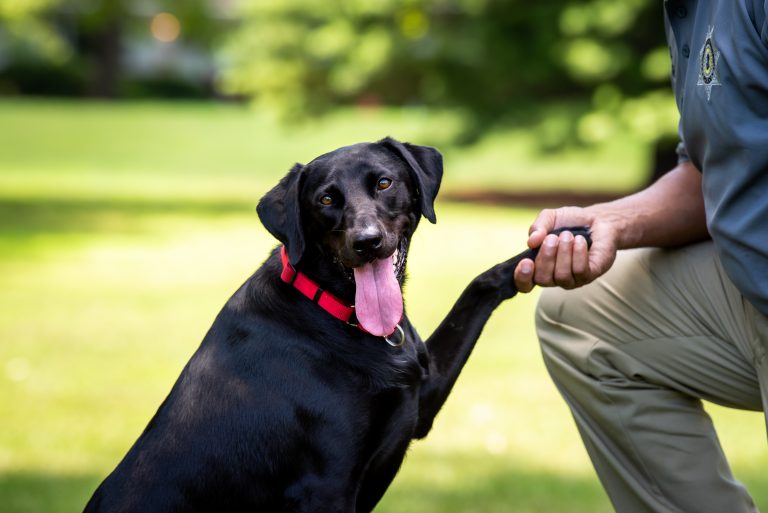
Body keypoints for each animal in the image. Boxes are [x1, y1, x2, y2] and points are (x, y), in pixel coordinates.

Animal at [82, 138, 588, 512]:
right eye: (326, 199)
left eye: (383, 182)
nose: (367, 242)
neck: (338, 315)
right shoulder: (326, 485)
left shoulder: (420, 400)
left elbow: (479, 284)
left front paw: (567, 237)